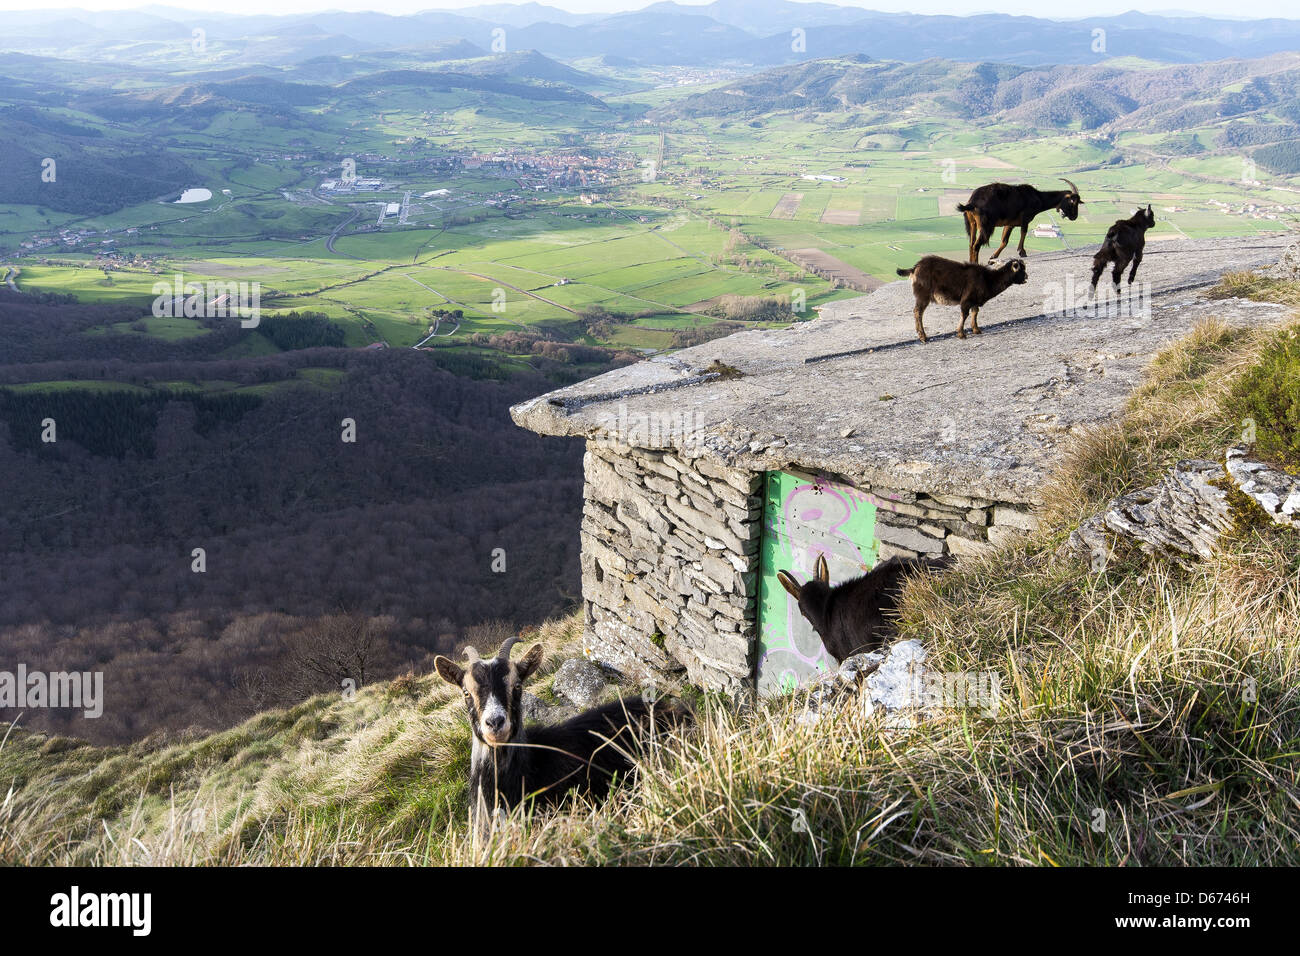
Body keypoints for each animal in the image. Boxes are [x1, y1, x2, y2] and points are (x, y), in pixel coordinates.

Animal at [896, 255, 1027, 342]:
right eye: (1021, 269)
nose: (1026, 277)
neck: (987, 279)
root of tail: (914, 268)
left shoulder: (975, 301)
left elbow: (975, 312)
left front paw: (976, 330)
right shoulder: (966, 300)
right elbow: (965, 314)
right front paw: (961, 334)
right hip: (923, 296)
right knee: (918, 312)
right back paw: (923, 337)